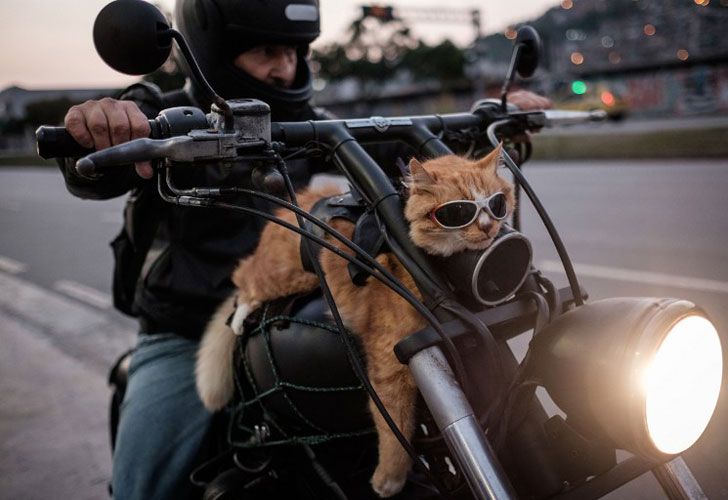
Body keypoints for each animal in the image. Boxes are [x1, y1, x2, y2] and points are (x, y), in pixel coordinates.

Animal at [196, 146, 516, 498]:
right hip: (283, 276)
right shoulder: (390, 365)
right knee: (244, 279)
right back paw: (241, 314)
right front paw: (389, 479)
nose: (487, 228)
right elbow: (394, 428)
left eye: (498, 202)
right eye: (457, 211)